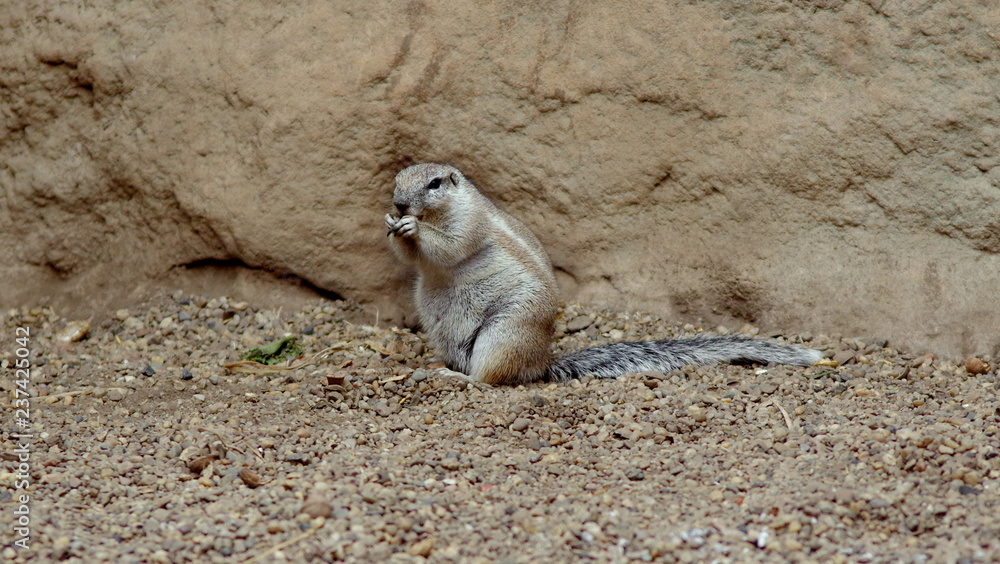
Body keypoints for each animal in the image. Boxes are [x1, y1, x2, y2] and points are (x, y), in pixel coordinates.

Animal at [385, 163, 822, 386]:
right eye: (396, 180)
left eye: (435, 183)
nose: (399, 203)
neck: (438, 212)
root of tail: (539, 363)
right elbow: (412, 260)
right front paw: (393, 224)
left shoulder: (469, 222)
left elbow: (452, 244)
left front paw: (414, 228)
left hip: (505, 333)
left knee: (491, 378)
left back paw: (455, 378)